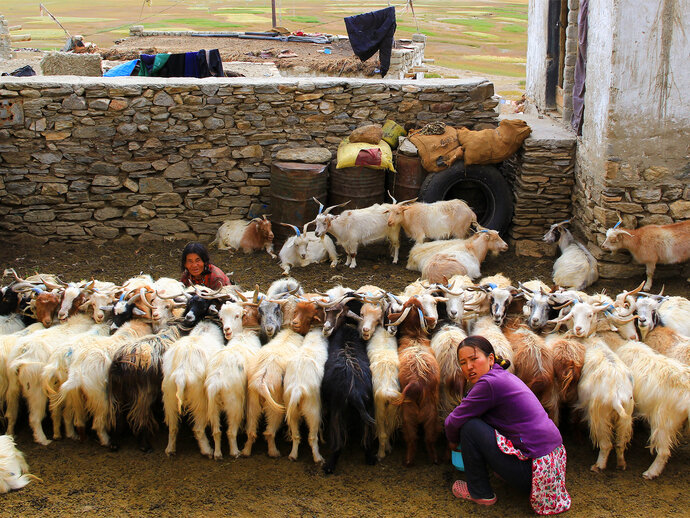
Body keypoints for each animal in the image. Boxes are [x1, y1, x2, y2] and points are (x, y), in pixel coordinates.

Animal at [163, 320, 224, 460]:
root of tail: (181, 373)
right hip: (200, 400)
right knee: (198, 429)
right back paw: (207, 451)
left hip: (169, 398)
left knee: (172, 427)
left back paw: (170, 449)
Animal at [241, 330, 302, 460]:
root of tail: (261, 382)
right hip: (274, 407)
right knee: (269, 432)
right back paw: (274, 452)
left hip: (253, 405)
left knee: (251, 431)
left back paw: (245, 452)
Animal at [284, 328, 330, 466]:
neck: (312, 343)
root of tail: (297, 389)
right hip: (312, 411)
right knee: (312, 437)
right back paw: (318, 458)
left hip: (293, 414)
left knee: (296, 436)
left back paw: (293, 455)